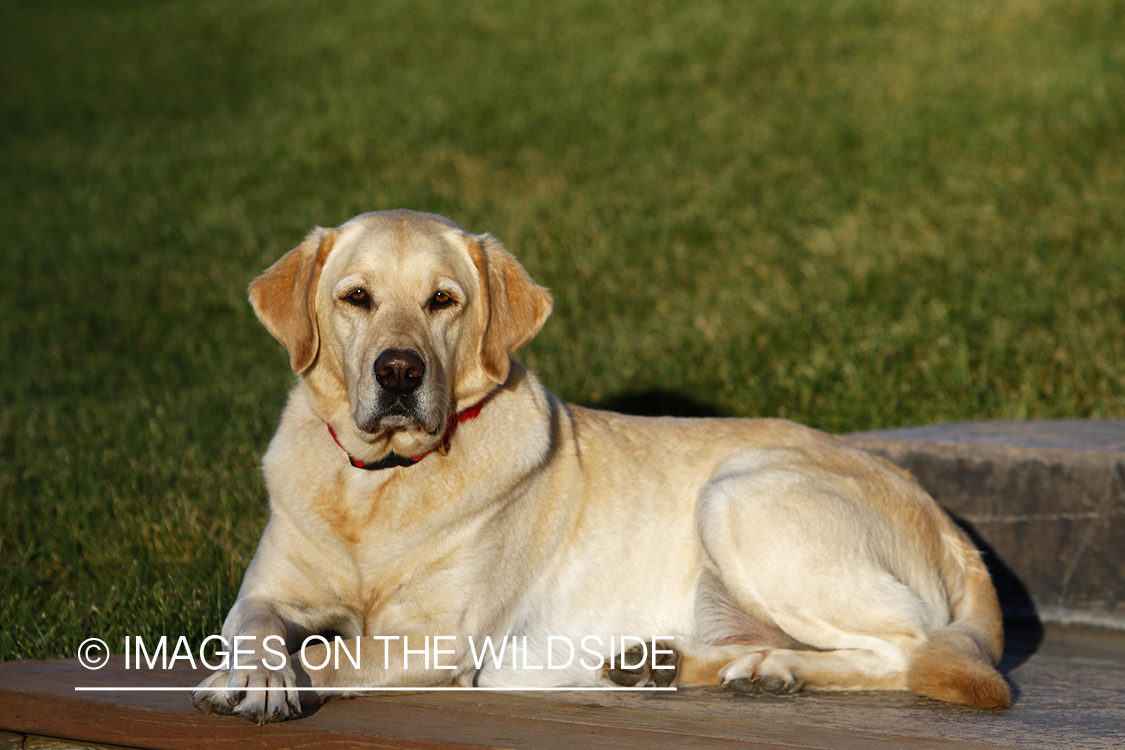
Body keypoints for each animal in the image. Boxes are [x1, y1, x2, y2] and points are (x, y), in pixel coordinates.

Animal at [191, 208, 1012, 724]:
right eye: (356, 297)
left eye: (443, 301)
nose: (398, 371)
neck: (381, 484)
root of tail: (948, 523)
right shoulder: (269, 588)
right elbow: (250, 624)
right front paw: (254, 674)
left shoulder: (441, 638)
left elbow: (335, 659)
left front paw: (245, 686)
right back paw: (664, 663)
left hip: (740, 496)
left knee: (911, 651)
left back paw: (775, 672)